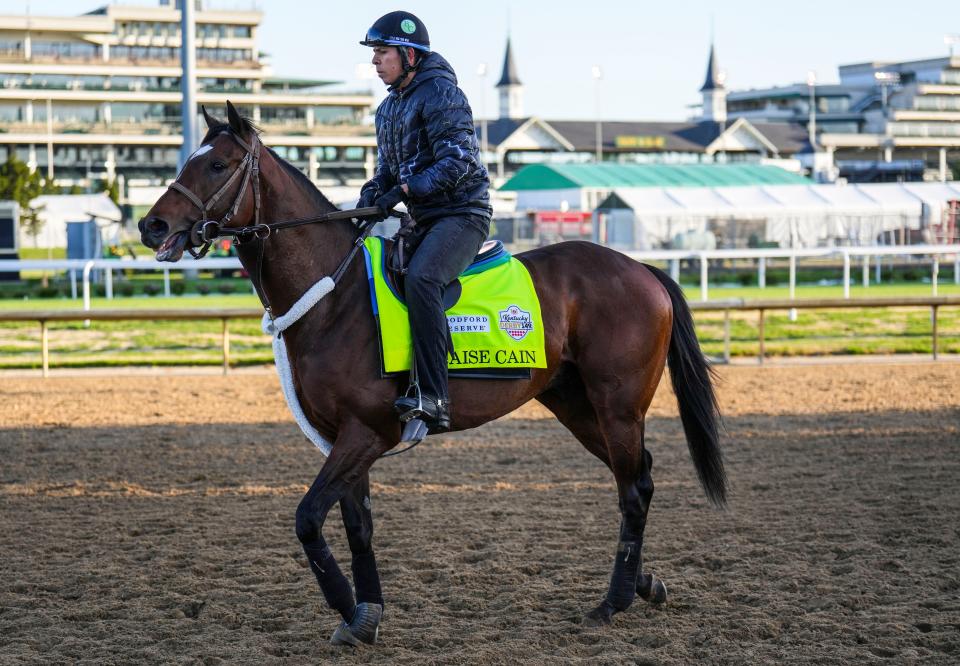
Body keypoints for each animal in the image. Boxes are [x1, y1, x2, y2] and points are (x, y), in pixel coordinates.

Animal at [139, 102, 724, 644]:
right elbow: (358, 527)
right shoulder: (342, 439)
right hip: (577, 406)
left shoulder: (366, 433)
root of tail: (640, 269)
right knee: (638, 476)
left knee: (633, 488)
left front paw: (347, 606)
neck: (334, 293)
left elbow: (307, 519)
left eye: (217, 164)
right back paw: (643, 584)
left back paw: (613, 601)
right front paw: (366, 615)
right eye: (188, 159)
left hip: (616, 406)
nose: (151, 225)